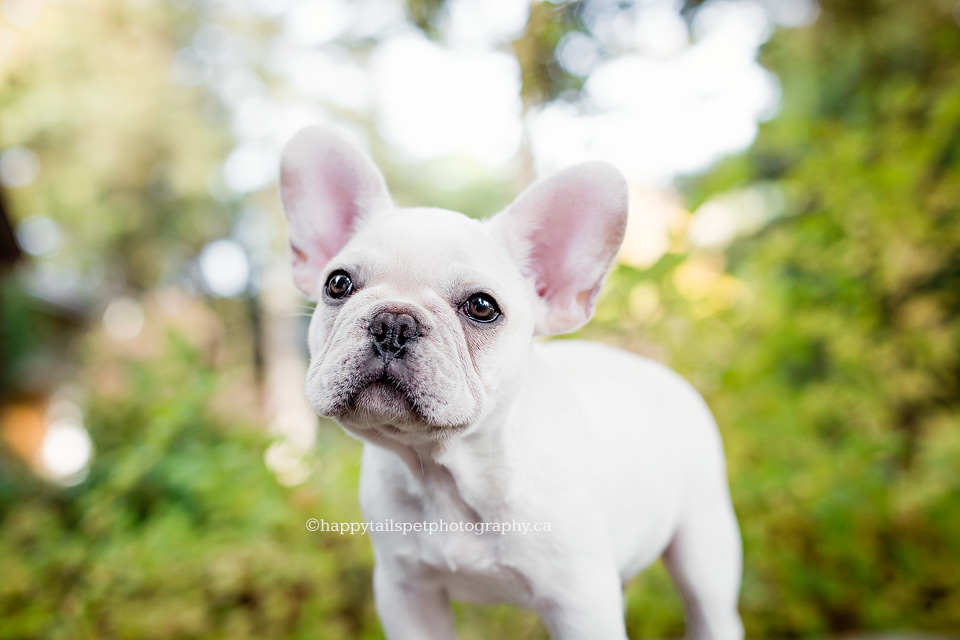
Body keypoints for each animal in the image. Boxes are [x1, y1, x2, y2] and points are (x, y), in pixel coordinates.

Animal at [278, 126, 744, 640]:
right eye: (337, 284)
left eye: (482, 307)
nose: (393, 323)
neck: (449, 475)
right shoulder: (407, 593)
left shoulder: (581, 603)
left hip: (703, 551)